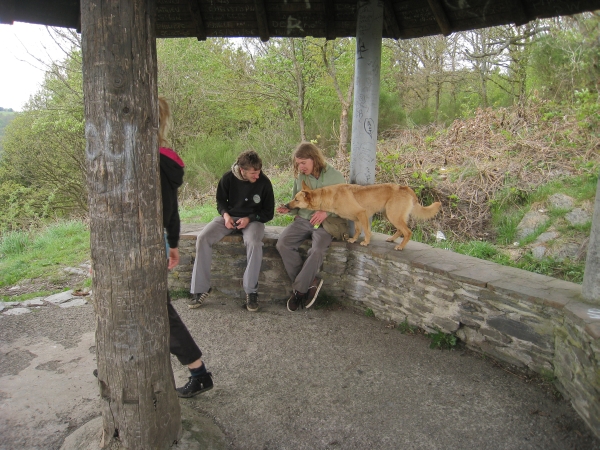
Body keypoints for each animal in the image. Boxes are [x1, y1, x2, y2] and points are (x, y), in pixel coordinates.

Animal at [286, 182, 440, 251]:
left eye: (296, 200)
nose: (286, 205)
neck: (330, 196)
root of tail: (406, 188)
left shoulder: (362, 214)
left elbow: (366, 231)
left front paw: (366, 242)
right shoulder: (356, 218)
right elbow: (358, 230)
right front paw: (354, 239)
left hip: (393, 215)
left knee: (408, 232)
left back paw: (401, 246)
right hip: (390, 215)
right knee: (400, 230)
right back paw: (392, 239)